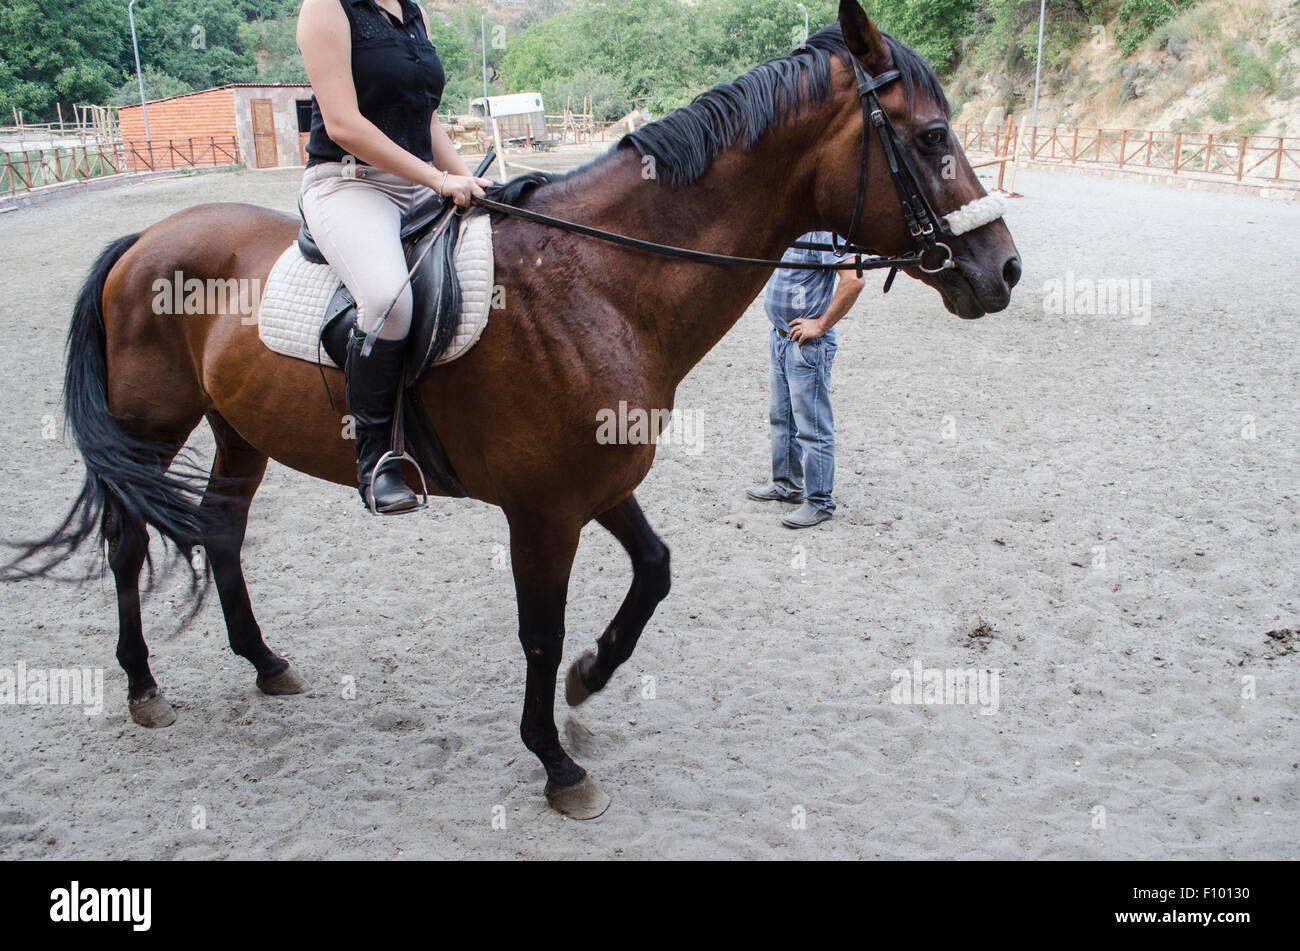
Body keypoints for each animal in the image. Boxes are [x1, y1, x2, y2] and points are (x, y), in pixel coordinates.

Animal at [7, 1, 1020, 819]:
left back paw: (265, 662)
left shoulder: (596, 485)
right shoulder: (542, 510)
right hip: (152, 426)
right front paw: (556, 762)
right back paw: (143, 684)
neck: (602, 281)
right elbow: (539, 630)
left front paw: (590, 680)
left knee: (219, 531)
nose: (1003, 271)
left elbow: (655, 570)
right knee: (128, 541)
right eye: (933, 138)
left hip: (237, 432)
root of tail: (146, 237)